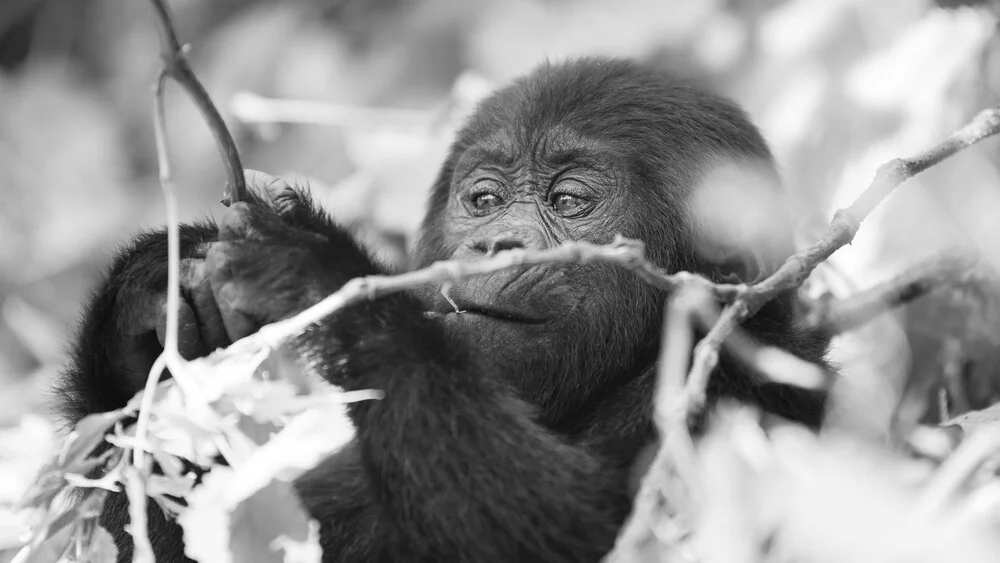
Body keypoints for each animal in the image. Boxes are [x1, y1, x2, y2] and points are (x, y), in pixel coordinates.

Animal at [58, 58, 832, 563]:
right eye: (483, 200)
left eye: (570, 201)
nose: (494, 242)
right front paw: (149, 302)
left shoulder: (751, 386)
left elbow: (594, 532)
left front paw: (316, 267)